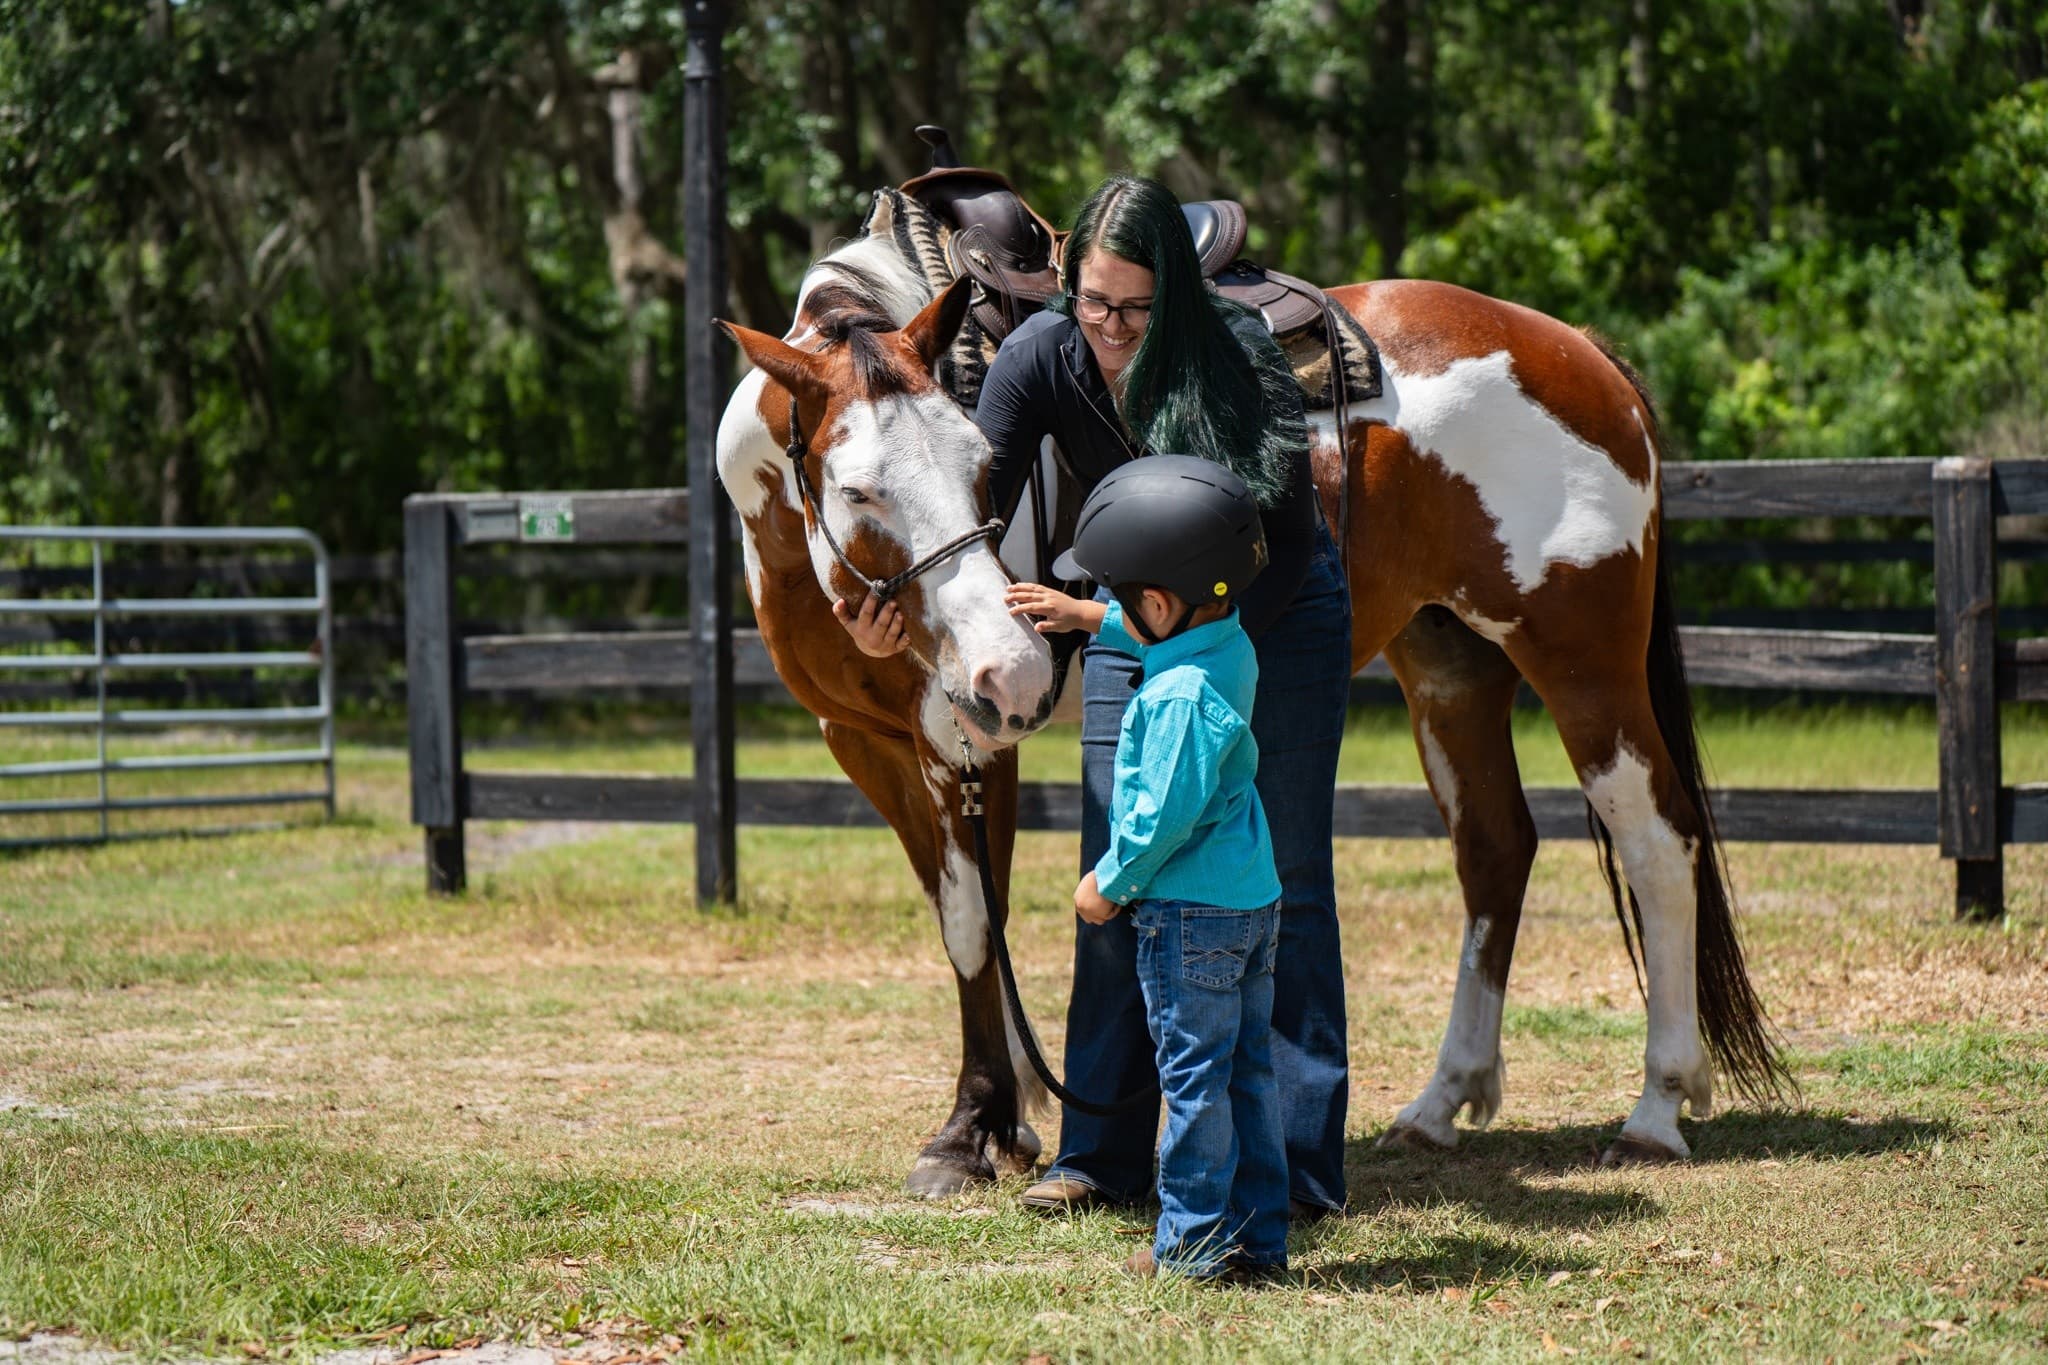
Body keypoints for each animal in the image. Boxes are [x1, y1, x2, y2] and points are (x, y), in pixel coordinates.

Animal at [716, 189, 1785, 1194]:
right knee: (1495, 847)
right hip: (1450, 666)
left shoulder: (963, 740)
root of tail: (1577, 351)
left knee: (1658, 839)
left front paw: (972, 1129)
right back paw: (1441, 1102)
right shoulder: (874, 743)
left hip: (1582, 660)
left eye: (984, 465)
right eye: (859, 490)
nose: (1010, 666)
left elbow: (978, 920)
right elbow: (971, 919)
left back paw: (1654, 1109)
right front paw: (1007, 1118)